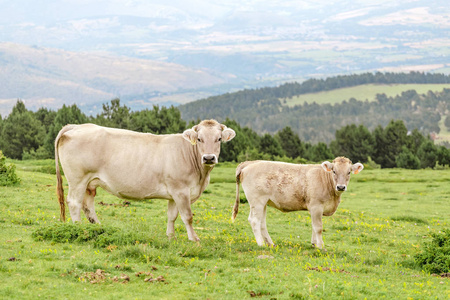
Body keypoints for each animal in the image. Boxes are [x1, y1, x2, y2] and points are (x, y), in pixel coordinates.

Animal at [55, 119, 236, 241]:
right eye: (199, 139)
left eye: (219, 139)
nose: (209, 158)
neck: (201, 177)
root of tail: (78, 126)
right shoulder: (181, 190)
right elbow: (187, 216)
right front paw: (194, 238)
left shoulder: (174, 192)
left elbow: (172, 216)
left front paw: (171, 237)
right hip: (77, 179)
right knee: (74, 203)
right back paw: (79, 228)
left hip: (90, 182)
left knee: (87, 205)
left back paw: (99, 227)